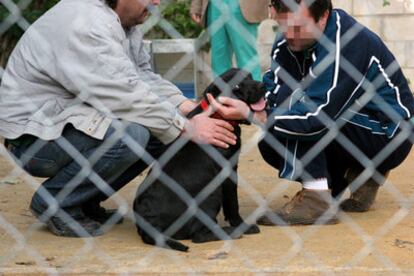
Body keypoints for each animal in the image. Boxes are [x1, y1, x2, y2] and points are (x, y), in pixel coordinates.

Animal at [134, 68, 266, 251]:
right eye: (237, 86)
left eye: (249, 76)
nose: (262, 85)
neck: (216, 115)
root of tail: (149, 223)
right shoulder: (228, 173)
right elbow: (233, 204)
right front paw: (241, 225)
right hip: (211, 194)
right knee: (198, 235)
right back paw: (231, 231)